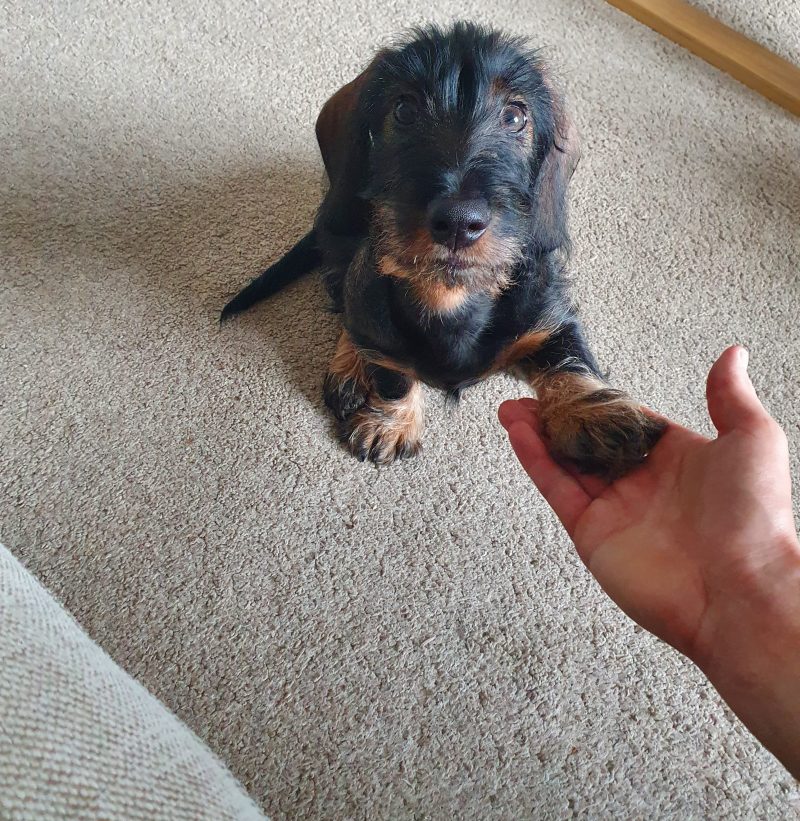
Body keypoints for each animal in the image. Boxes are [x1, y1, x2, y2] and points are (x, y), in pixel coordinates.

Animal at [222, 22, 664, 478]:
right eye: (404, 109)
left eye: (515, 116)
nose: (458, 222)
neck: (450, 297)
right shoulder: (381, 328)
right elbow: (393, 369)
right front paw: (391, 421)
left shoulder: (550, 317)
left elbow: (569, 357)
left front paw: (593, 415)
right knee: (347, 306)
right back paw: (349, 366)